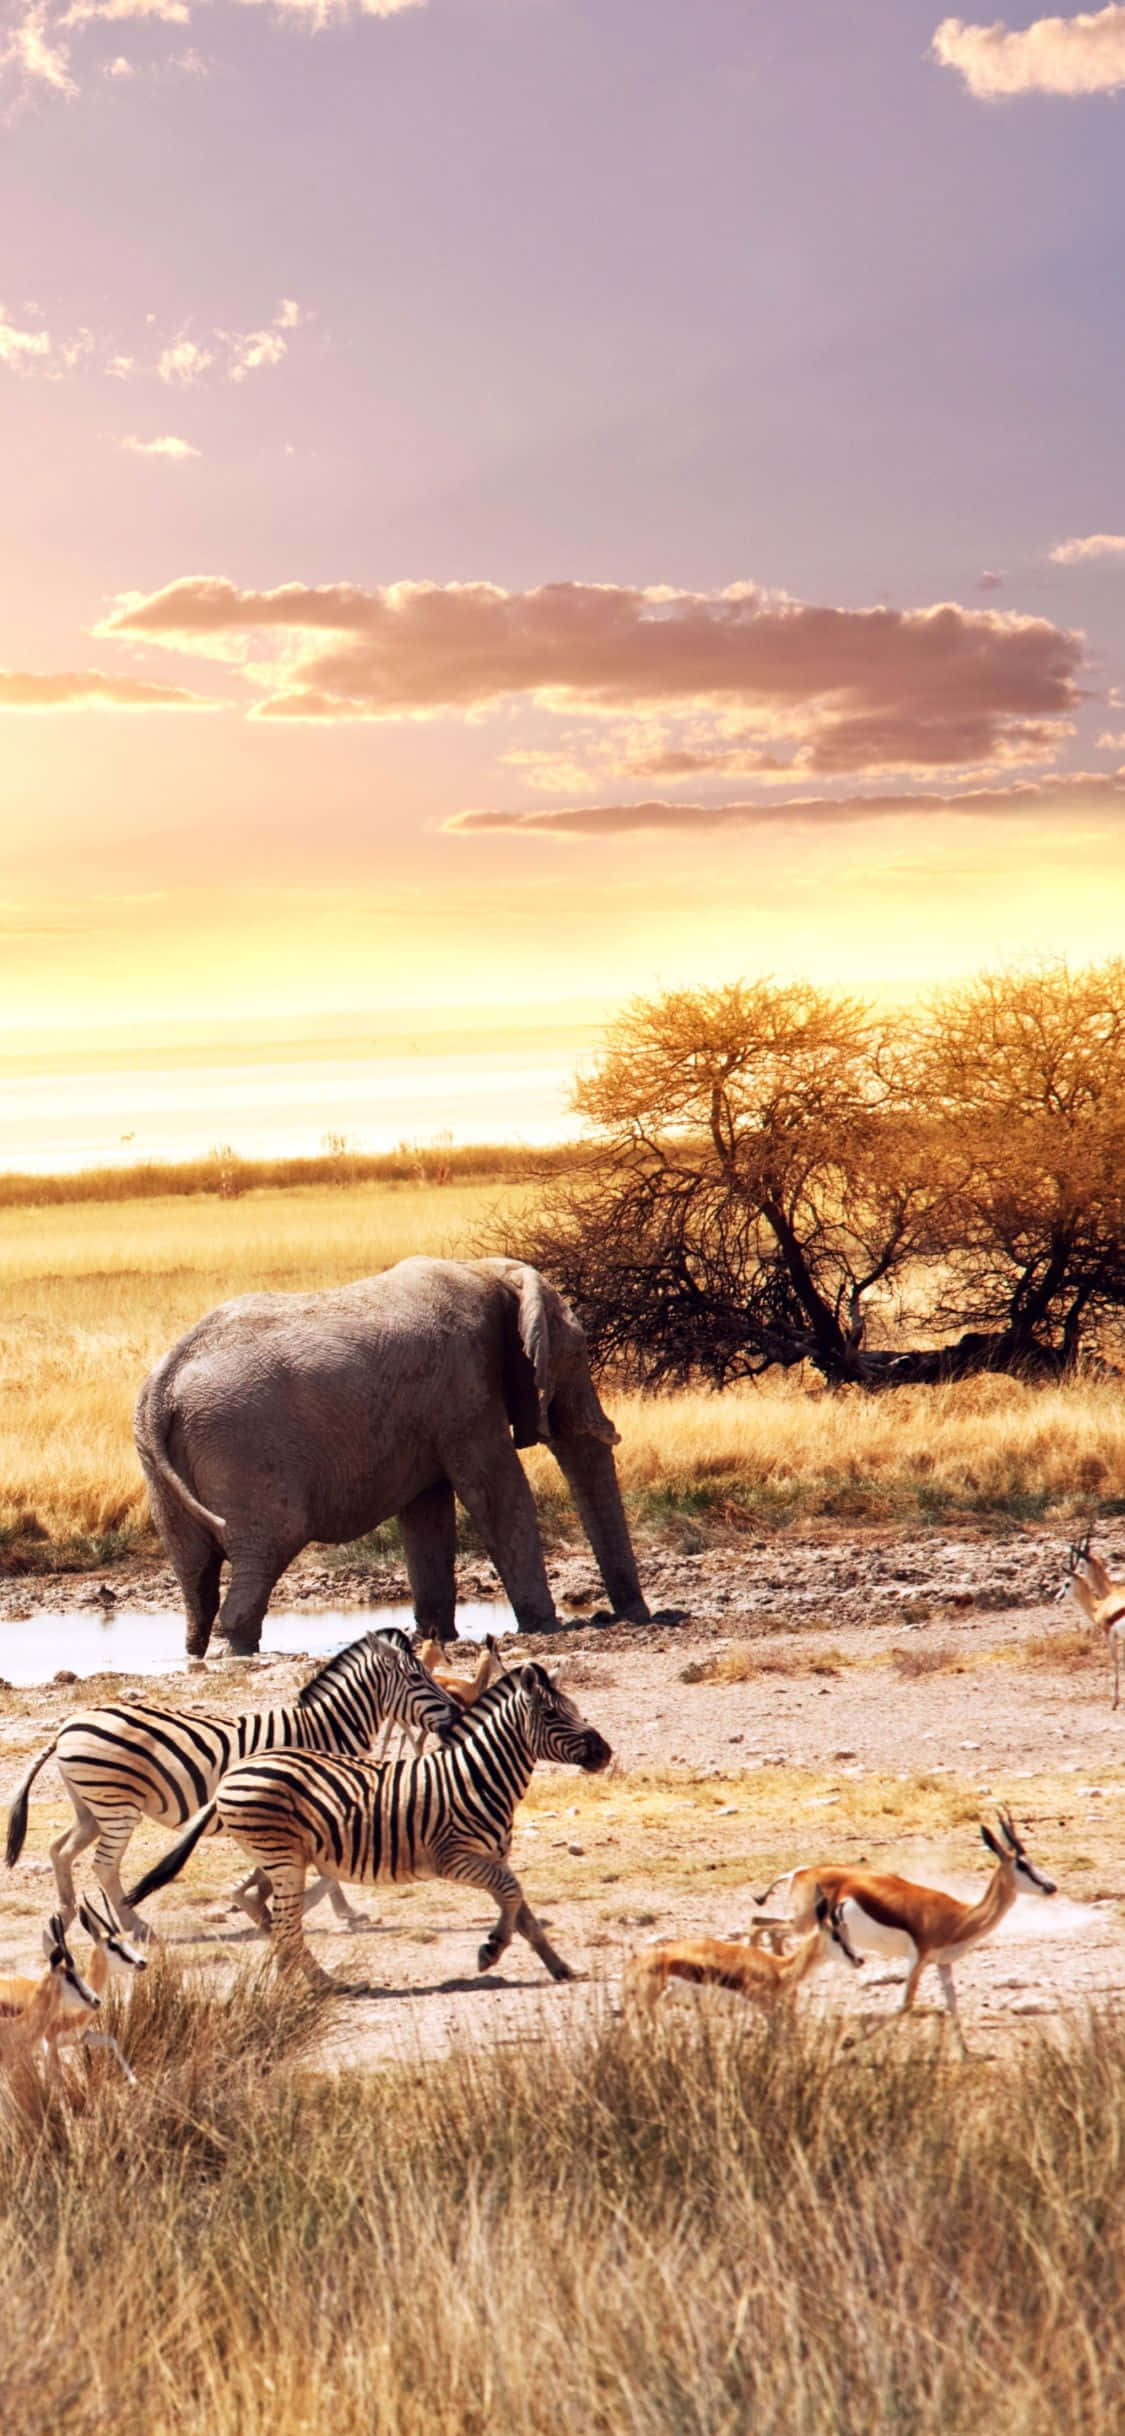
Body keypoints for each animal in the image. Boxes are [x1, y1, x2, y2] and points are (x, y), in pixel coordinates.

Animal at [134, 1256, 651, 1657]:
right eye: (579, 1354)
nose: (626, 1617)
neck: (488, 1272)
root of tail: (163, 1386)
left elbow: (427, 1512)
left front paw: (436, 1636)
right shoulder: (465, 1389)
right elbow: (496, 1491)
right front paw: (545, 1627)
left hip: (165, 1464)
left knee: (195, 1573)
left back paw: (199, 1652)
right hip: (243, 1447)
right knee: (270, 1543)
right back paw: (238, 1650)